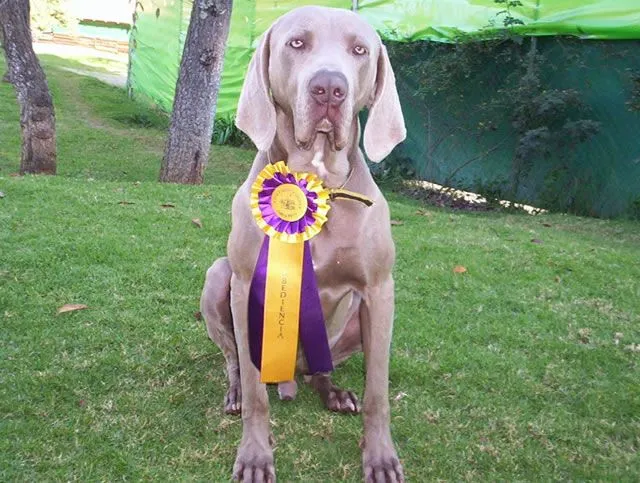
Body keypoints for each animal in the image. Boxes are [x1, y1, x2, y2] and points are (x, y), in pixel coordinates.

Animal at [201, 4, 404, 483]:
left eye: (359, 49)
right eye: (297, 43)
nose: (329, 87)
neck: (317, 180)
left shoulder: (380, 291)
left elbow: (378, 391)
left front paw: (380, 457)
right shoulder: (244, 285)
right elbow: (255, 391)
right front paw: (255, 455)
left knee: (322, 371)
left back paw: (334, 393)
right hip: (216, 277)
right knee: (234, 361)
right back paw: (235, 394)